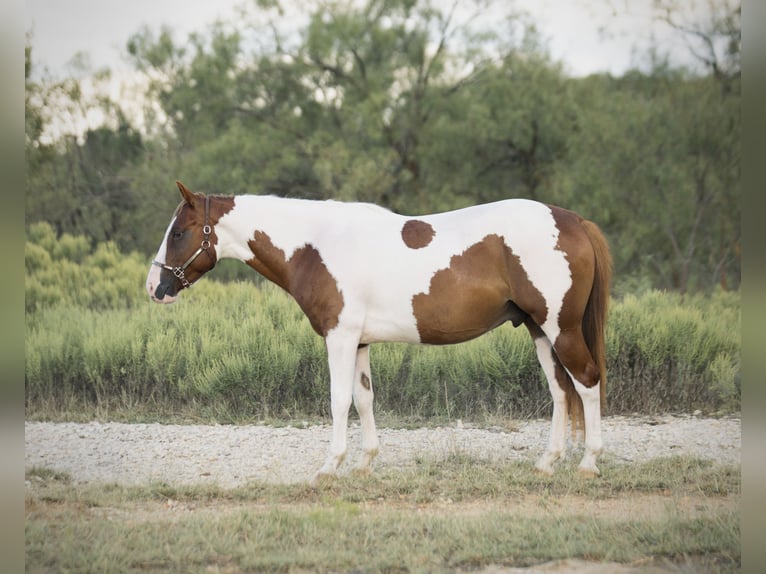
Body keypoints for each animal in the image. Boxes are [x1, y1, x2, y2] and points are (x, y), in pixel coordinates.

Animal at [146, 181, 612, 484]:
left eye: (180, 232)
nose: (155, 288)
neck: (315, 246)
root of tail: (572, 220)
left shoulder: (339, 337)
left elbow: (338, 401)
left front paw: (329, 466)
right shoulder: (359, 341)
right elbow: (363, 398)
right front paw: (365, 463)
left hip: (561, 328)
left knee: (587, 382)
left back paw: (588, 463)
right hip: (539, 330)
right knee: (560, 391)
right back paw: (548, 463)